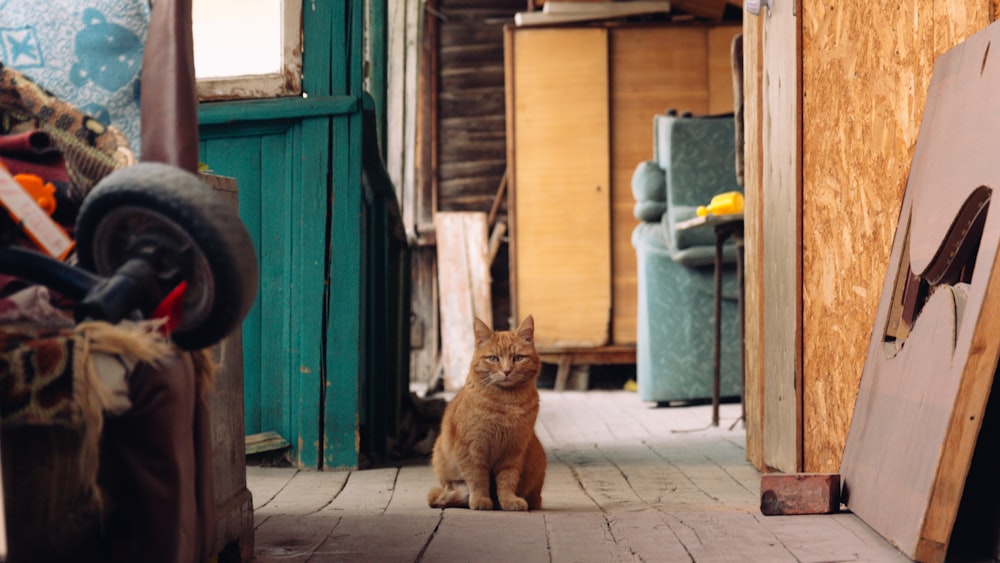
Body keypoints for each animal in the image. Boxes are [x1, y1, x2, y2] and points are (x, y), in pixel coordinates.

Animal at [424, 318, 544, 512]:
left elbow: (507, 480)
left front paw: (509, 501)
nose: (507, 371)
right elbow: (478, 478)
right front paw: (480, 500)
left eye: (518, 358)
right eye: (493, 358)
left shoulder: (513, 451)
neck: (506, 403)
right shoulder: (472, 449)